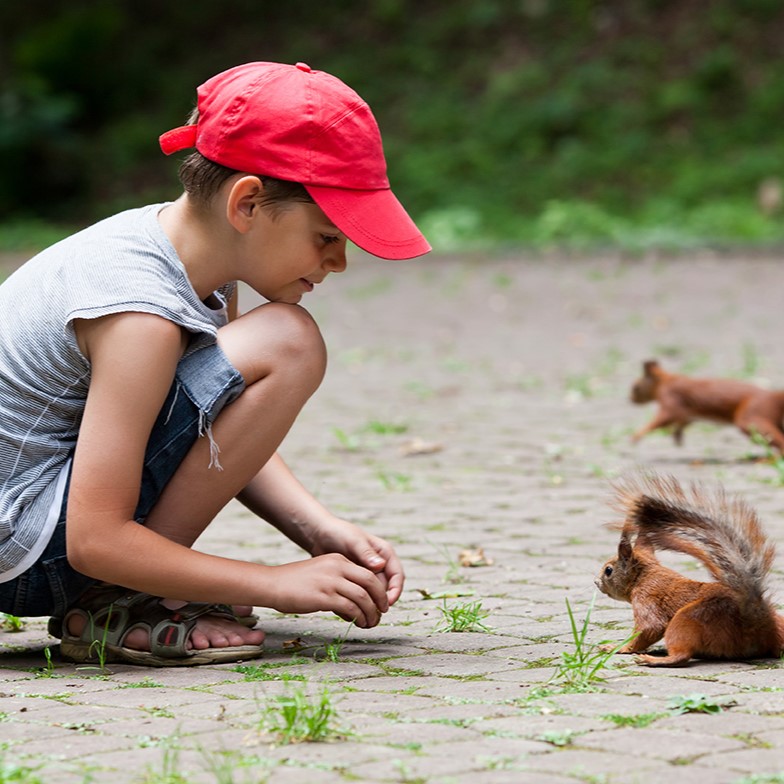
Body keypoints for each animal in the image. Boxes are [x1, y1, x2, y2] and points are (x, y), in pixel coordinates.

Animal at [596, 472, 784, 668]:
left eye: (608, 570)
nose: (596, 582)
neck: (643, 576)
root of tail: (757, 623)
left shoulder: (645, 597)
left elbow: (650, 627)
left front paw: (617, 648)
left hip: (688, 618)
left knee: (682, 656)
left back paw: (653, 659)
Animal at [628, 356, 784, 450]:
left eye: (636, 387)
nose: (630, 400)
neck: (665, 382)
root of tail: (774, 397)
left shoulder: (671, 401)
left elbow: (660, 421)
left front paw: (635, 437)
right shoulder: (686, 413)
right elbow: (681, 423)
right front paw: (677, 438)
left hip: (752, 417)